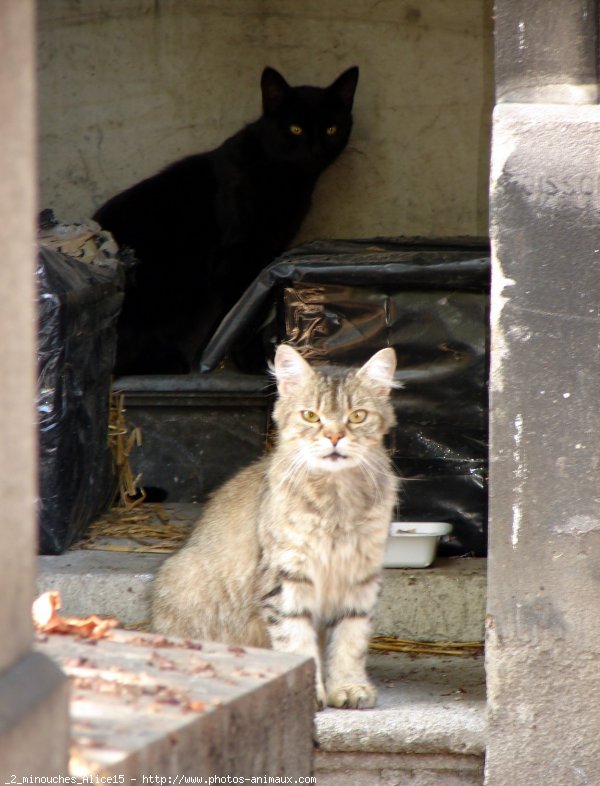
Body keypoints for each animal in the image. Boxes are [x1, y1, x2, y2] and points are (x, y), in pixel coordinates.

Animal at [94, 66, 356, 376]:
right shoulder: (235, 255)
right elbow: (242, 316)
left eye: (331, 129)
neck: (284, 179)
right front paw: (252, 362)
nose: (316, 149)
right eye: (295, 129)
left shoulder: (267, 251)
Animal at [152, 346, 400, 708]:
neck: (336, 500)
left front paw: (349, 687)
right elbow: (297, 642)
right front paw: (309, 693)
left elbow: (349, 643)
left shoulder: (360, 579)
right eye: (311, 416)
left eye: (357, 416)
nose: (334, 437)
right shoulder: (285, 577)